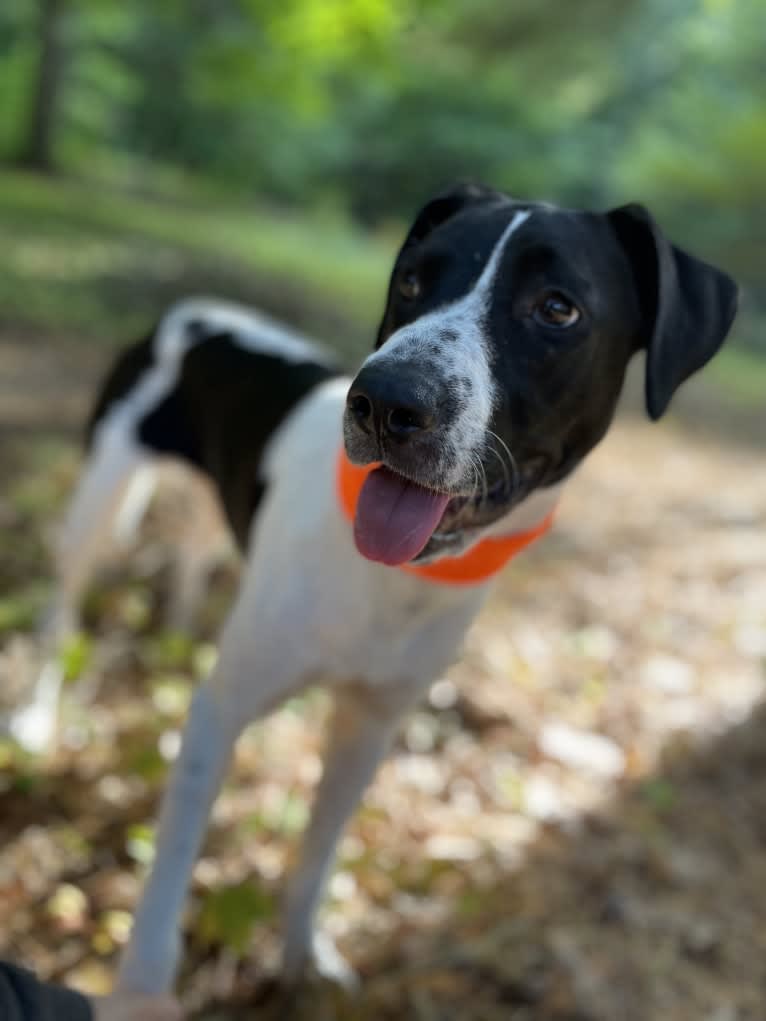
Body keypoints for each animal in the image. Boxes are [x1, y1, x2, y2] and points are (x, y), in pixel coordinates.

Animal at [41, 181, 743, 988]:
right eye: (411, 280)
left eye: (558, 307)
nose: (382, 399)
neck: (399, 581)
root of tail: (193, 307)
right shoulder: (221, 715)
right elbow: (169, 877)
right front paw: (144, 989)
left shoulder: (368, 726)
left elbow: (319, 849)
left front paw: (303, 959)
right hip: (100, 497)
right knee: (61, 610)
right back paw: (33, 718)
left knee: (190, 552)